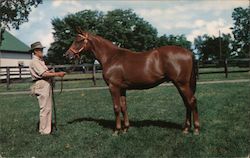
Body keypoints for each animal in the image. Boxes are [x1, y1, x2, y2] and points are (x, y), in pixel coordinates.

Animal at [65, 31, 200, 135]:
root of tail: (189, 52)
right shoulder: (122, 89)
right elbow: (124, 107)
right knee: (187, 103)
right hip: (180, 84)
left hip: (182, 84)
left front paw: (116, 131)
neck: (111, 57)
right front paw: (125, 129)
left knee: (192, 101)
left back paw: (196, 129)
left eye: (78, 41)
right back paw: (186, 129)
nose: (67, 55)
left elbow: (116, 108)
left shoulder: (113, 87)